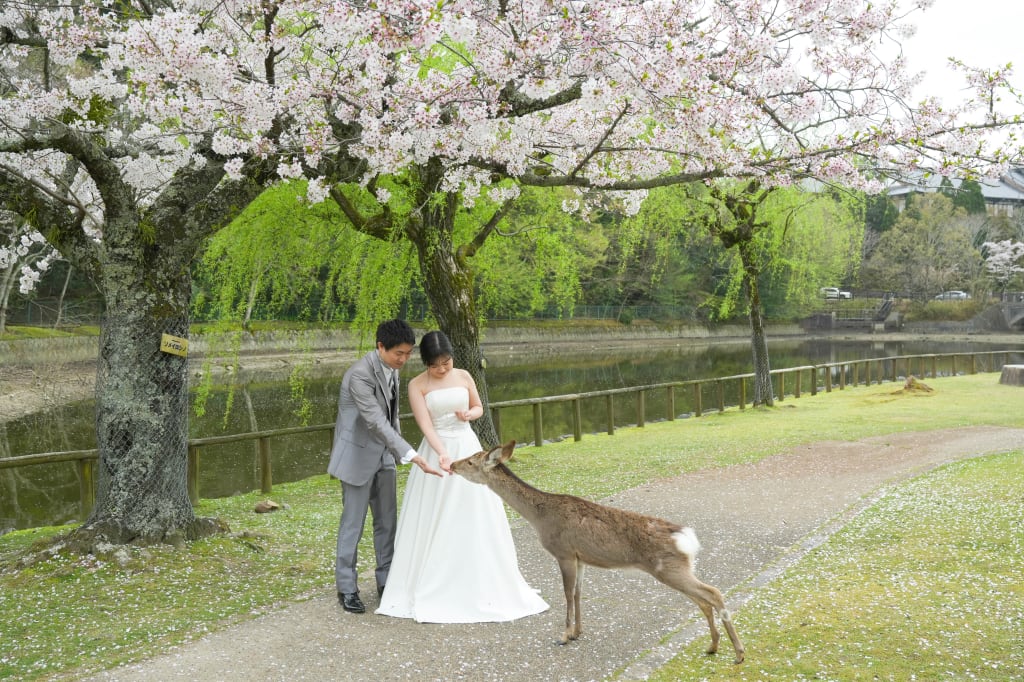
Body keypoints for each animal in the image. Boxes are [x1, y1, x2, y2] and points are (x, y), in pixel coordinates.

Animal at [448, 438, 745, 659]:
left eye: (471, 461)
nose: (451, 463)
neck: (539, 518)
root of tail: (686, 537)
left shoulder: (564, 552)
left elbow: (567, 594)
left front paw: (564, 636)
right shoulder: (580, 558)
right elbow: (578, 594)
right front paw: (577, 632)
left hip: (669, 568)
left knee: (713, 593)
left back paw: (739, 652)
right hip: (678, 568)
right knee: (703, 600)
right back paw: (712, 646)